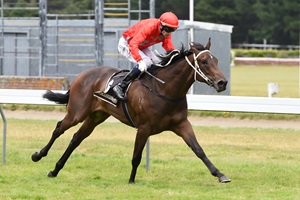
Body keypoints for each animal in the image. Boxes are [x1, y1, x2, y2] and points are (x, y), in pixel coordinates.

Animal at [31, 37, 231, 183]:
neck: (164, 90)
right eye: (204, 61)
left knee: (76, 139)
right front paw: (131, 180)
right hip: (77, 113)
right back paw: (38, 155)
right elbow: (136, 156)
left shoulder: (181, 124)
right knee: (59, 128)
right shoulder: (144, 128)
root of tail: (81, 74)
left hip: (96, 116)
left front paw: (220, 174)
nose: (222, 82)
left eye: (216, 60)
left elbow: (198, 149)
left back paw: (55, 170)